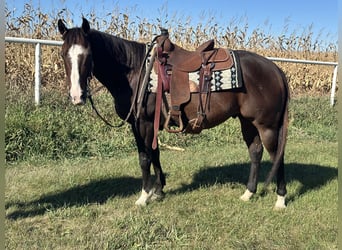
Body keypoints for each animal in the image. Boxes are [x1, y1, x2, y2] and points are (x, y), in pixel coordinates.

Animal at [58, 18, 288, 209]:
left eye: (87, 55)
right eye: (63, 54)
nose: (77, 96)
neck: (136, 72)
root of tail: (275, 69)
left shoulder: (143, 123)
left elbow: (144, 158)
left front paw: (144, 196)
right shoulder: (144, 125)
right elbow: (155, 154)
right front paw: (158, 191)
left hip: (266, 125)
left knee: (276, 155)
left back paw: (280, 199)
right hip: (247, 121)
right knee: (255, 152)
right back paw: (248, 193)